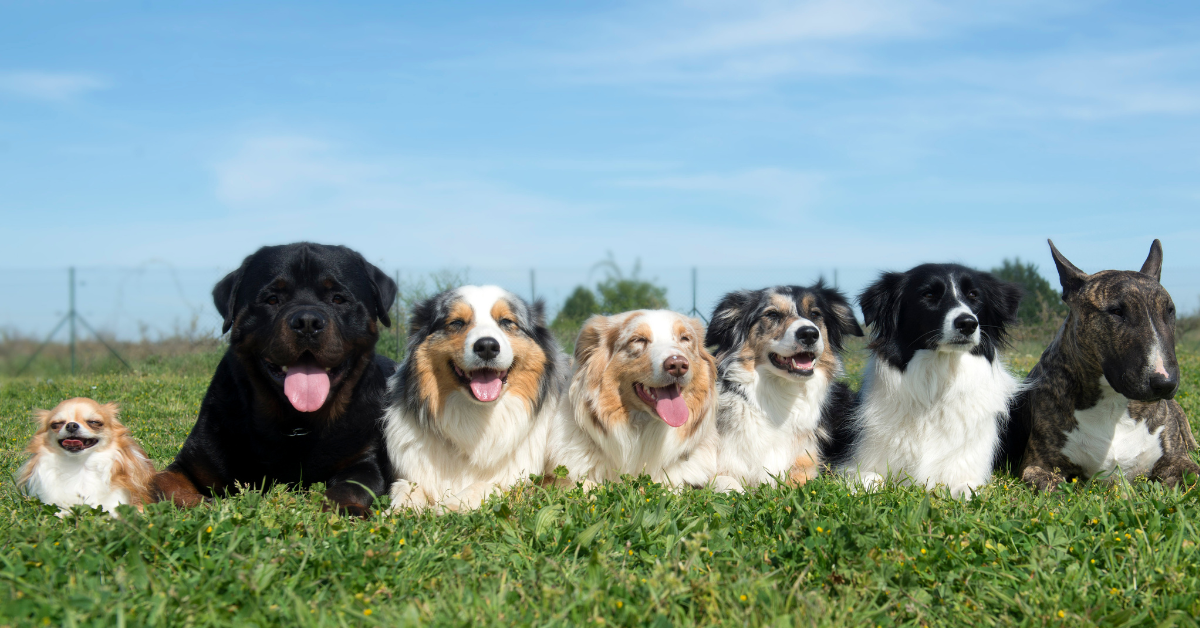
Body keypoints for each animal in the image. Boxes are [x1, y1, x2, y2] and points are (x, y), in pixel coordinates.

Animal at [152, 242, 398, 516]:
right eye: (272, 299)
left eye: (338, 299)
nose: (307, 321)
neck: (297, 424)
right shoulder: (193, 462)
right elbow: (161, 482)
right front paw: (202, 504)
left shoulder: (364, 462)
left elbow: (350, 487)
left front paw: (346, 508)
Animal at [835, 262, 1022, 499]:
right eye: (928, 294)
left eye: (973, 295)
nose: (968, 323)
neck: (937, 384)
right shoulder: (856, 461)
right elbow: (870, 478)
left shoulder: (968, 466)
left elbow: (966, 489)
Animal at [1003, 238, 1200, 489]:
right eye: (1116, 311)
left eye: (1170, 311)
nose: (1165, 384)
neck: (1113, 403)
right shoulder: (1038, 465)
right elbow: (1050, 485)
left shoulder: (1177, 459)